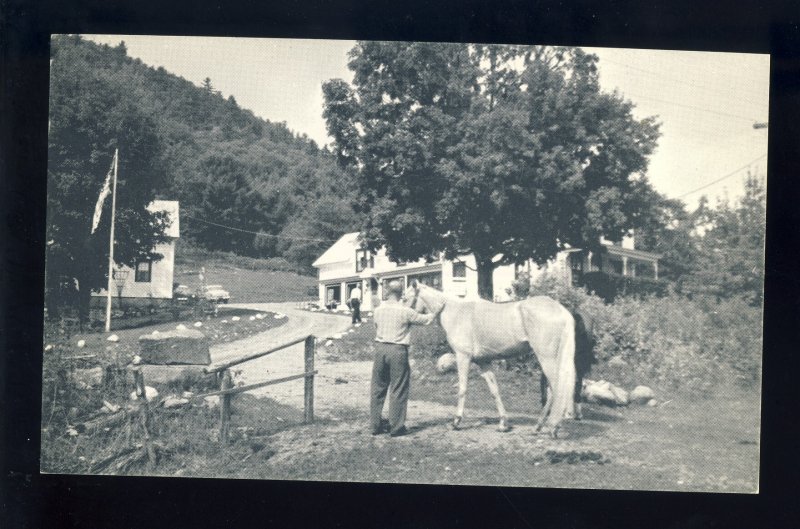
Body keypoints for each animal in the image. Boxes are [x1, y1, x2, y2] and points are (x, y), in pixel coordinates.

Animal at [406, 282, 576, 436]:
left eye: (405, 298)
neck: (456, 313)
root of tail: (562, 311)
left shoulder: (463, 357)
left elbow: (462, 388)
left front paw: (456, 421)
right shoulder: (483, 362)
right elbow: (494, 390)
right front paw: (503, 424)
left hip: (547, 359)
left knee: (555, 389)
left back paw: (552, 427)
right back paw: (538, 426)